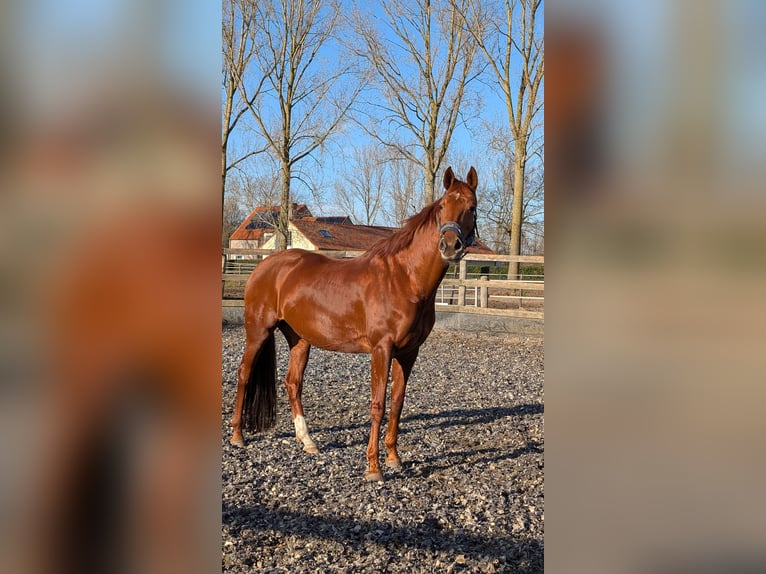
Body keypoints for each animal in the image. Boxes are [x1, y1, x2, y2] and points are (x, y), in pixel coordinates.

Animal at [230, 166, 479, 481]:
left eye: (472, 207)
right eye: (443, 206)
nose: (449, 245)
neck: (404, 278)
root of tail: (265, 265)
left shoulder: (409, 353)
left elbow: (397, 404)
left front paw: (394, 459)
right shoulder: (381, 349)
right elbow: (378, 405)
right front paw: (374, 468)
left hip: (299, 339)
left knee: (292, 383)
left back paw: (308, 442)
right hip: (258, 331)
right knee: (244, 373)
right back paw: (238, 436)